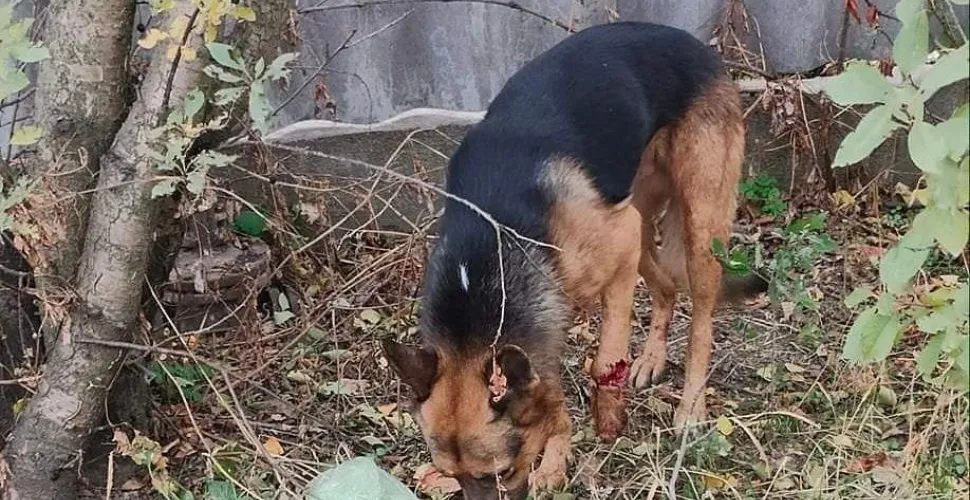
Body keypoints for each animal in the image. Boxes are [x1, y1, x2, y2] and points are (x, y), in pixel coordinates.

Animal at [382, 21, 768, 500]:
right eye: (452, 475)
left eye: (499, 473)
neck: (487, 253)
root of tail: (696, 44)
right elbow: (551, 393)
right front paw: (555, 460)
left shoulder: (615, 263)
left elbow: (604, 362)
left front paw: (605, 425)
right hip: (638, 217)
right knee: (664, 286)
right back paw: (651, 359)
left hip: (695, 229)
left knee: (701, 323)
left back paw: (690, 408)